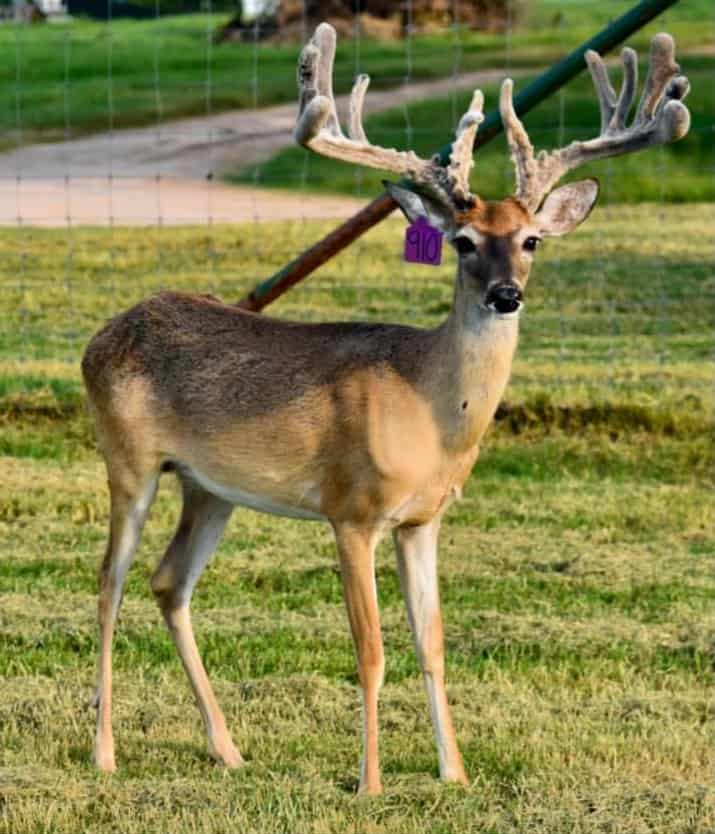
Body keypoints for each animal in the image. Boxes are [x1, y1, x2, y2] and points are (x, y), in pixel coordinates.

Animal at [81, 23, 690, 794]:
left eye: (530, 240)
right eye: (462, 242)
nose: (506, 295)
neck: (433, 413)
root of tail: (102, 334)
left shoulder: (422, 520)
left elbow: (431, 643)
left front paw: (454, 774)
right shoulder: (351, 510)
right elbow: (369, 650)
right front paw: (369, 782)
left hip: (209, 487)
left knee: (169, 583)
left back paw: (227, 749)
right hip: (127, 458)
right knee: (109, 582)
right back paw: (104, 751)